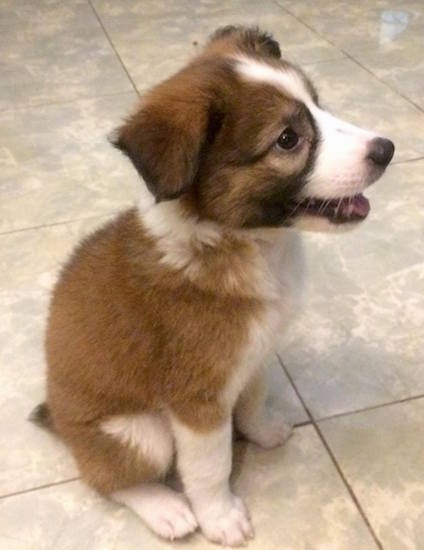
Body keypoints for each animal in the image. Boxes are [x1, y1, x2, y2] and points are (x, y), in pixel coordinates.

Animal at [32, 25, 394, 548]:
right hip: (138, 432)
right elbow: (209, 467)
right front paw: (220, 517)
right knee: (106, 479)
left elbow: (253, 400)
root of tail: (60, 423)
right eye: (288, 140)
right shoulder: (197, 400)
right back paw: (165, 508)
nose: (386, 149)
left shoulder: (256, 356)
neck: (246, 243)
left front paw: (261, 432)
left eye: (318, 104)